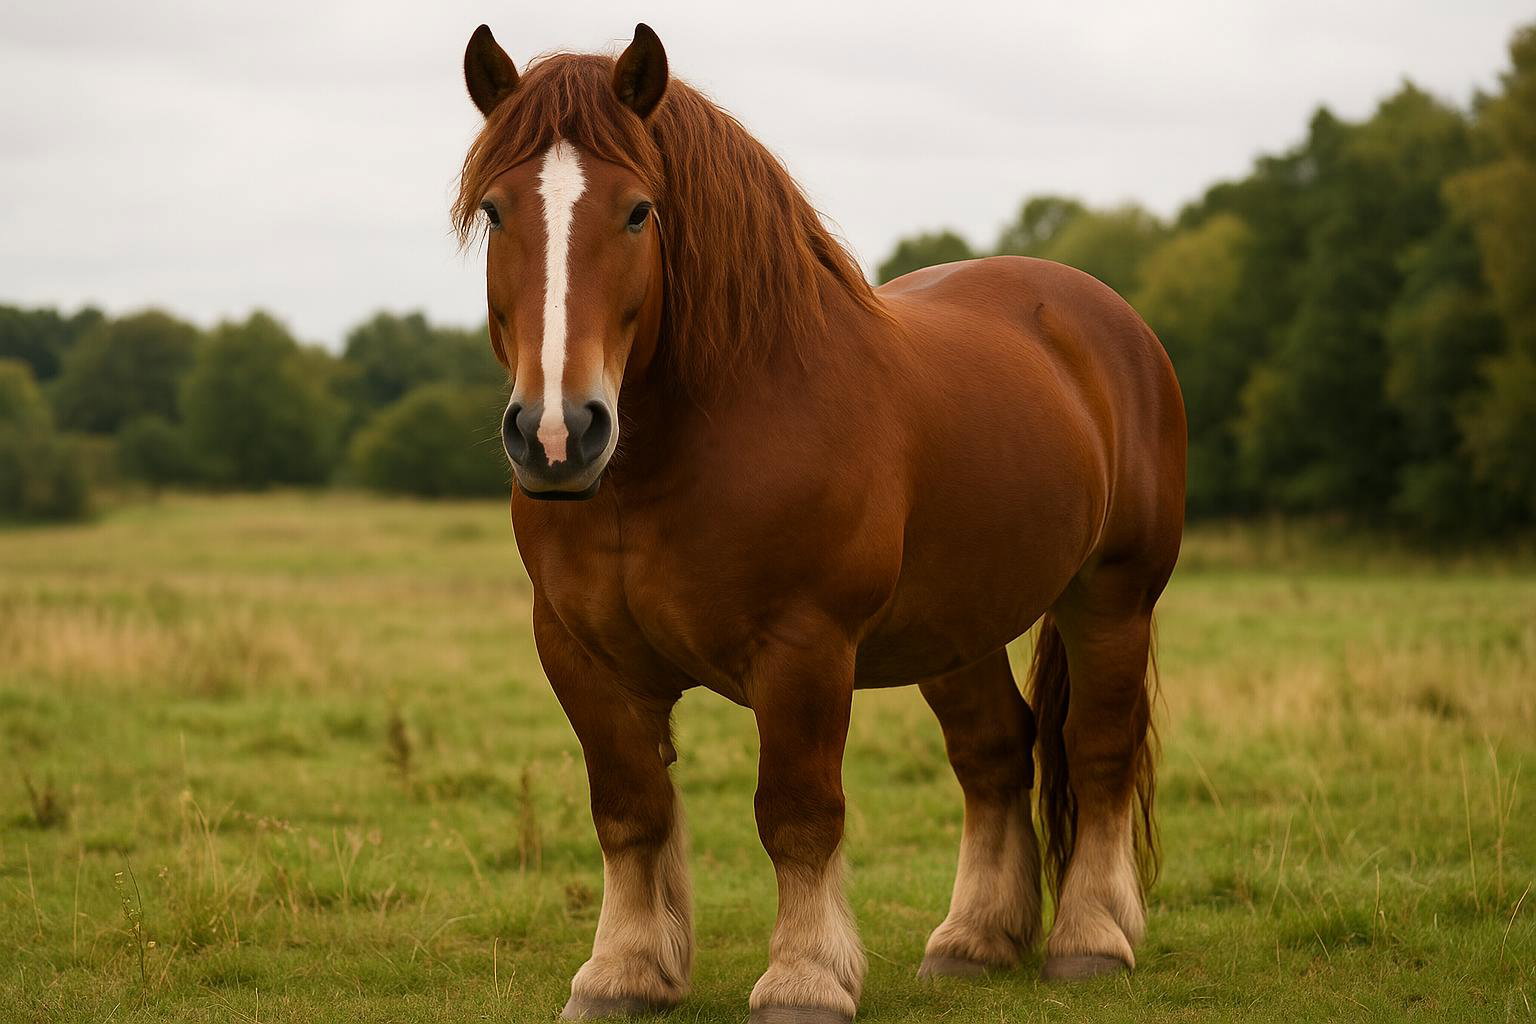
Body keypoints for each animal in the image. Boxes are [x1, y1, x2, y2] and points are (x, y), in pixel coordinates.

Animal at [455, 23, 1185, 1023]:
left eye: (639, 212)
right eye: (496, 213)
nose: (557, 434)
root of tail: (1106, 319)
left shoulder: (803, 649)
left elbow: (797, 814)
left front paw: (805, 979)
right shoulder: (580, 655)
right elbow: (631, 810)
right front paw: (623, 973)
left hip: (1110, 596)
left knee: (1098, 749)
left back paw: (1092, 941)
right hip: (954, 629)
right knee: (995, 752)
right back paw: (973, 941)